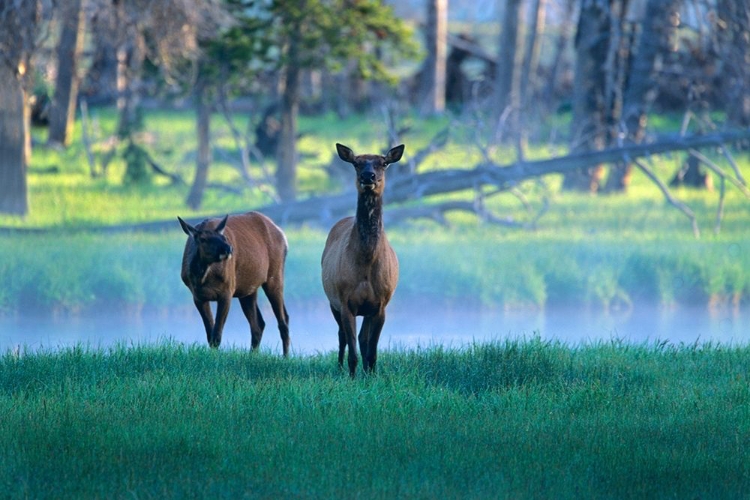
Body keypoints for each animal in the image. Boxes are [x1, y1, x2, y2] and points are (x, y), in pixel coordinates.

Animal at [178, 211, 292, 356]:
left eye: (223, 237)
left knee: (283, 320)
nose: (228, 248)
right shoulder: (197, 296)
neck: (202, 278)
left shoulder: (227, 291)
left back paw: (285, 356)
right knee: (259, 324)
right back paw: (252, 355)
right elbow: (210, 334)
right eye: (203, 239)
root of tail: (283, 235)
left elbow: (217, 334)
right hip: (248, 289)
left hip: (274, 275)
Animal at [322, 143, 406, 376]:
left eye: (383, 163)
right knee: (342, 336)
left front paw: (372, 376)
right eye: (356, 163)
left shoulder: (381, 304)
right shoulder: (345, 301)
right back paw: (340, 368)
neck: (366, 262)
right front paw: (351, 377)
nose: (368, 176)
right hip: (332, 301)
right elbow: (353, 352)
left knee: (361, 338)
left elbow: (371, 350)